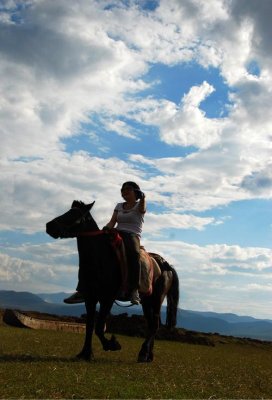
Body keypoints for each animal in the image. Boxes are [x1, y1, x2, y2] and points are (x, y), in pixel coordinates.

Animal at [45, 200, 180, 362]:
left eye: (74, 214)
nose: (49, 226)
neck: (99, 257)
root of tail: (165, 264)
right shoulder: (90, 297)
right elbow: (90, 325)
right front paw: (86, 353)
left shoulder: (107, 298)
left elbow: (99, 326)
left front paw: (112, 344)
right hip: (146, 301)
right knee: (153, 324)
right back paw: (148, 356)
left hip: (157, 298)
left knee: (154, 325)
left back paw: (143, 353)